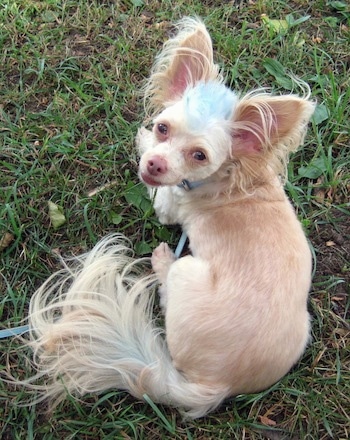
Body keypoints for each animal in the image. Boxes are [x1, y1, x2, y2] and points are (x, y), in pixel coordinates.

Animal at [23, 18, 316, 418]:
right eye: (164, 127)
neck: (232, 176)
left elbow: (158, 194)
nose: (155, 165)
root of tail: (216, 387)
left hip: (187, 272)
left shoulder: (167, 202)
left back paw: (162, 261)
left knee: (167, 288)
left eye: (199, 155)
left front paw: (140, 139)